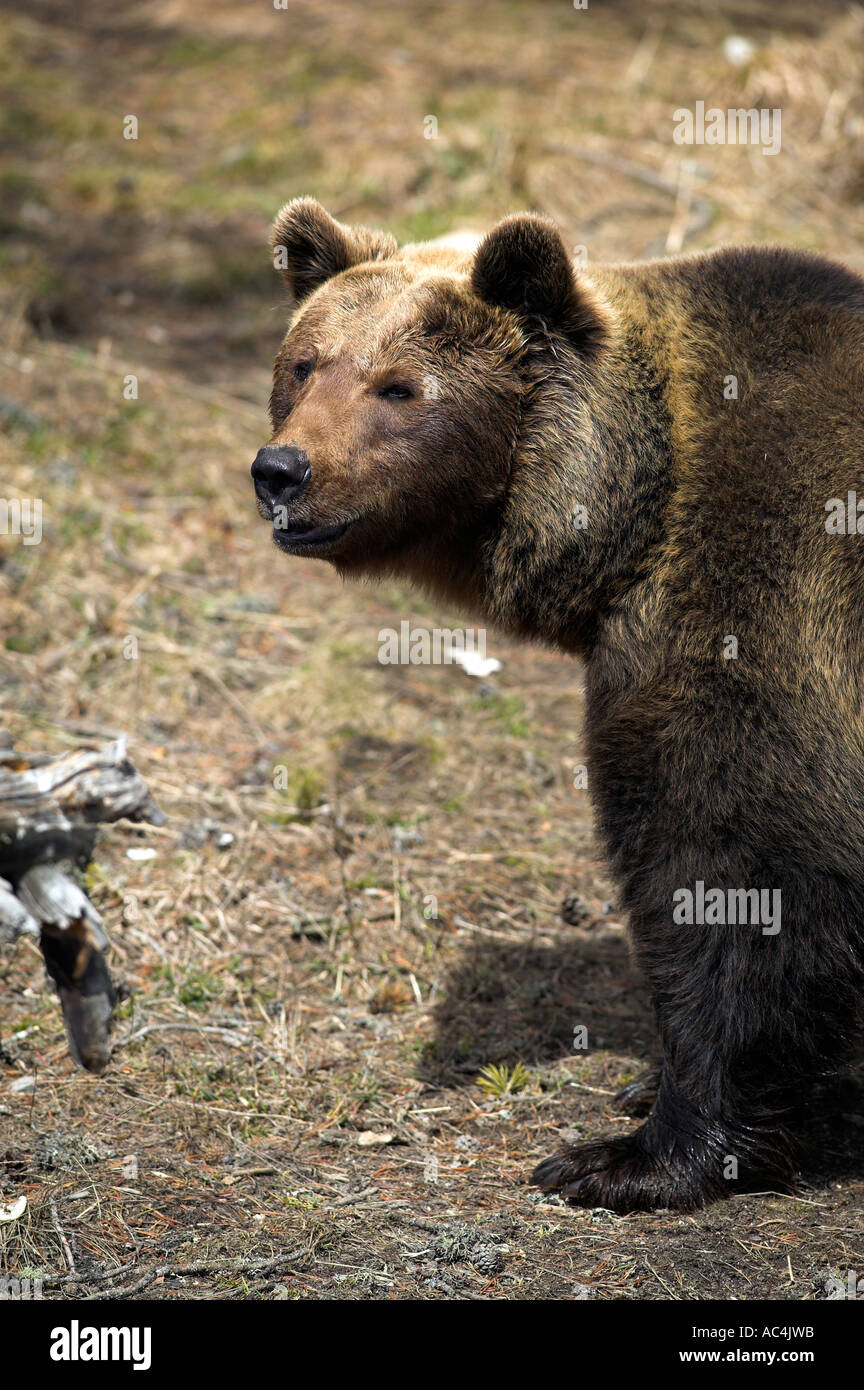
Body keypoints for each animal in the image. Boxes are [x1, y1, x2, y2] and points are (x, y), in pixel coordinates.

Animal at [252, 196, 864, 1213]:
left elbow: (739, 865)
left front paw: (632, 1154)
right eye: (303, 364)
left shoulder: (760, 601)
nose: (283, 470)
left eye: (398, 387)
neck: (636, 509)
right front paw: (646, 1089)